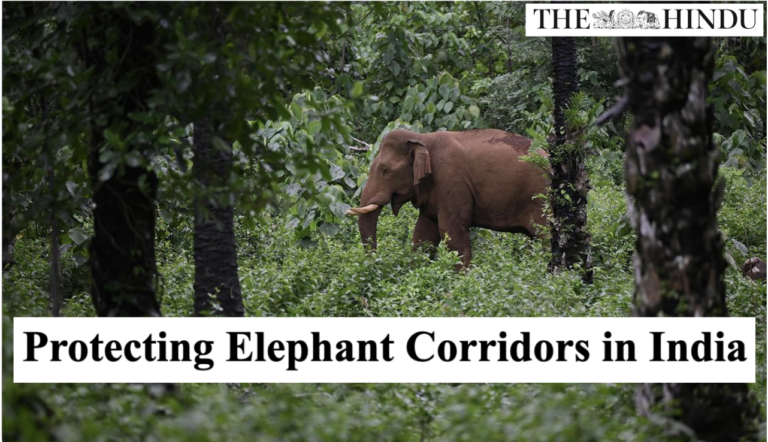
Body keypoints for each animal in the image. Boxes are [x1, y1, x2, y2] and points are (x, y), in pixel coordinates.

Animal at [345, 128, 549, 268]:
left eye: (385, 170)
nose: (373, 262)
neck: (422, 138)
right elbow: (423, 234)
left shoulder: (450, 179)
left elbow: (450, 231)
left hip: (541, 197)